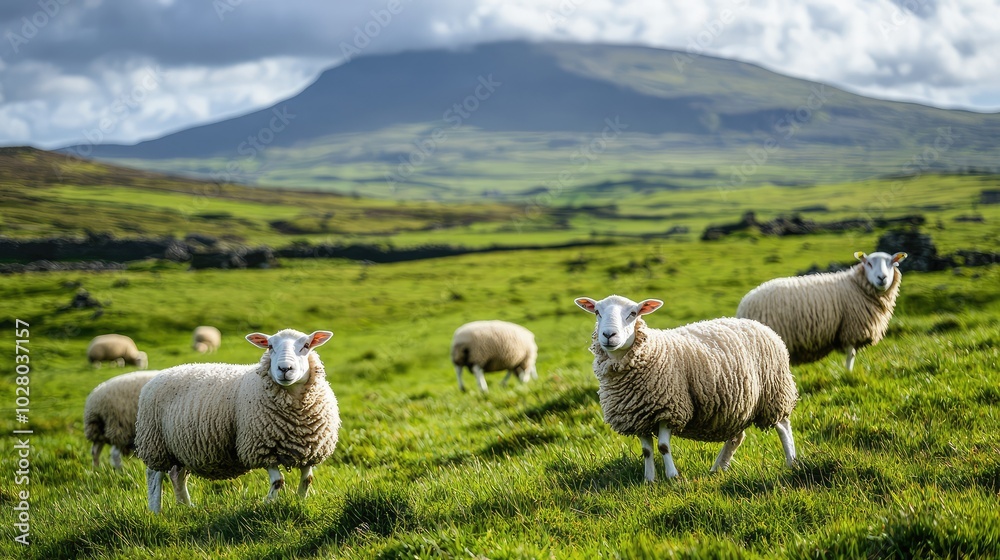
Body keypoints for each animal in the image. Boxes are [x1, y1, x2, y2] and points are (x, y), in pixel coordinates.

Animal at [135, 329, 339, 513]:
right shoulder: (261, 448)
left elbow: (307, 480)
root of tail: (158, 376)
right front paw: (267, 504)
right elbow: (278, 481)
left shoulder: (310, 450)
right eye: (270, 346)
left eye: (306, 345)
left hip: (181, 447)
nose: (284, 369)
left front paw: (299, 502)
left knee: (177, 475)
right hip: (155, 443)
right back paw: (155, 511)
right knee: (154, 476)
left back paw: (187, 507)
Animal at [575, 295, 797, 481]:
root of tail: (759, 325)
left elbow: (663, 446)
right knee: (736, 437)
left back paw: (792, 462)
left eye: (633, 313)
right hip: (739, 402)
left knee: (784, 427)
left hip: (774, 393)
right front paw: (649, 480)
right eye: (597, 312)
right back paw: (718, 468)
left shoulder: (669, 408)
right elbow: (647, 451)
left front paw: (672, 476)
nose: (608, 334)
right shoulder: (637, 415)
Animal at [736, 251, 908, 372]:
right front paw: (848, 374)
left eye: (892, 263)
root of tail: (743, 306)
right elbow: (851, 354)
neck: (856, 285)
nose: (882, 278)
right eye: (869, 264)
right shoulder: (851, 327)